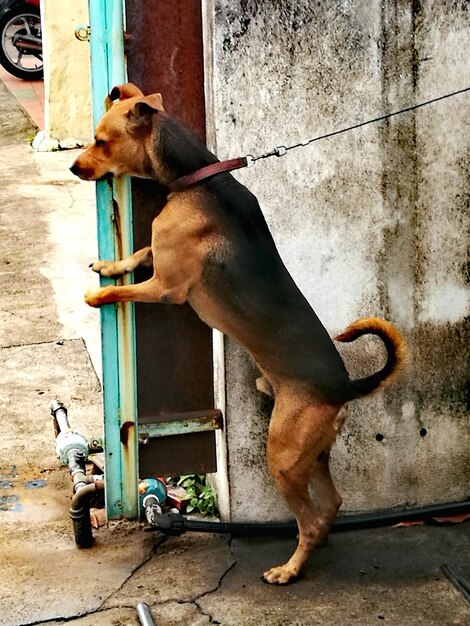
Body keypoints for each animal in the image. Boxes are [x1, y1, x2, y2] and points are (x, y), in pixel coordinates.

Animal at [70, 80, 408, 584]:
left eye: (101, 141)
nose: (73, 167)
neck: (196, 177)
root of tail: (344, 387)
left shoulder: (167, 288)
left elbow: (126, 288)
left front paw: (98, 295)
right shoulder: (161, 259)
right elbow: (139, 254)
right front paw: (110, 265)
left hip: (282, 456)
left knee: (309, 519)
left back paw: (289, 570)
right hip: (314, 454)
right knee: (331, 505)